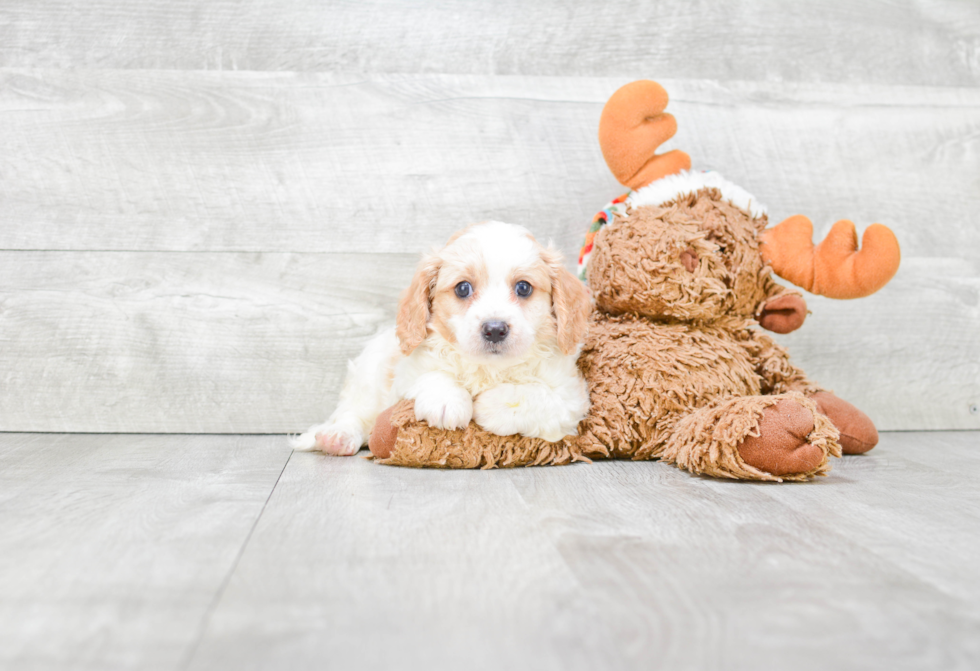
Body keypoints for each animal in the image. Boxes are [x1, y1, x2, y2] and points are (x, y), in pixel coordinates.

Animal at [290, 220, 592, 456]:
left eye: (524, 288)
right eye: (463, 288)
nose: (495, 329)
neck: (489, 368)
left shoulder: (571, 398)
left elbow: (541, 396)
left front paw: (490, 405)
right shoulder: (407, 370)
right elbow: (432, 373)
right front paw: (448, 400)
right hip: (369, 376)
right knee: (355, 414)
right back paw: (336, 437)